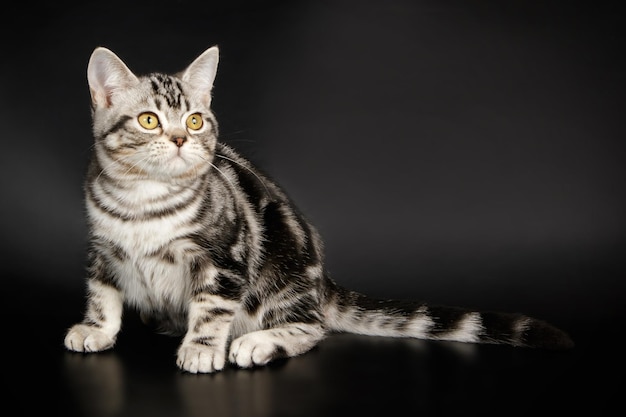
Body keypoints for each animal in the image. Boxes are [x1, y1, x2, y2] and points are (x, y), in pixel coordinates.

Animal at [63, 46, 572, 374]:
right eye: (149, 120)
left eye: (195, 120)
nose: (180, 138)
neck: (143, 201)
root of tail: (321, 282)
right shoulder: (100, 248)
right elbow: (102, 293)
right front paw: (96, 329)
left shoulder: (224, 258)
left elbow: (211, 308)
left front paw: (202, 348)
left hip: (280, 271)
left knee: (312, 327)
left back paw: (257, 342)